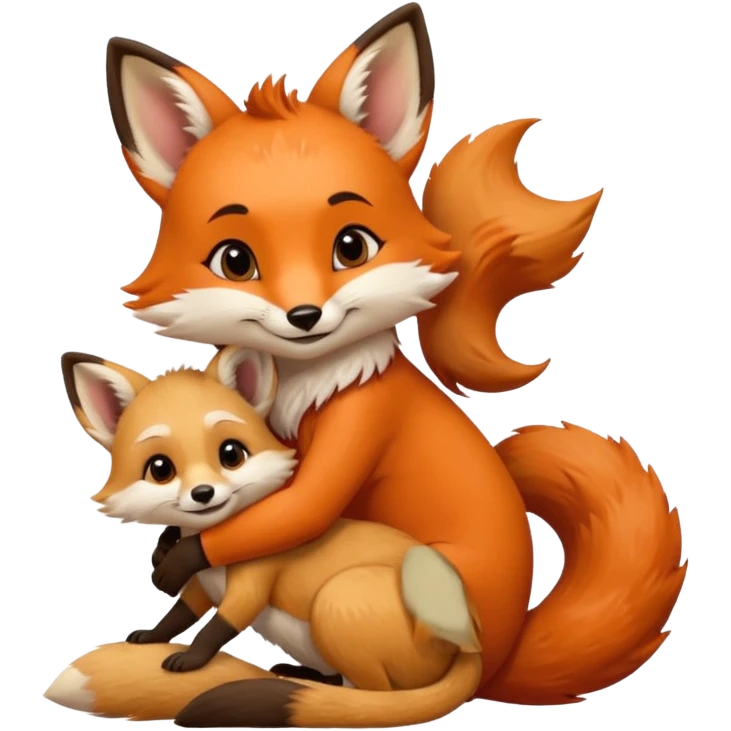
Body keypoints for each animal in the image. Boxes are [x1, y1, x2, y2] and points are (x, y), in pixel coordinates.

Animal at [46, 346, 486, 727]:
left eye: (231, 454)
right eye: (160, 468)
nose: (203, 493)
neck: (216, 552)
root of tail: (468, 646)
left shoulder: (250, 585)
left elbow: (217, 626)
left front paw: (189, 660)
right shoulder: (202, 588)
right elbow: (180, 615)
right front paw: (152, 636)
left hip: (338, 601)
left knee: (374, 695)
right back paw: (303, 677)